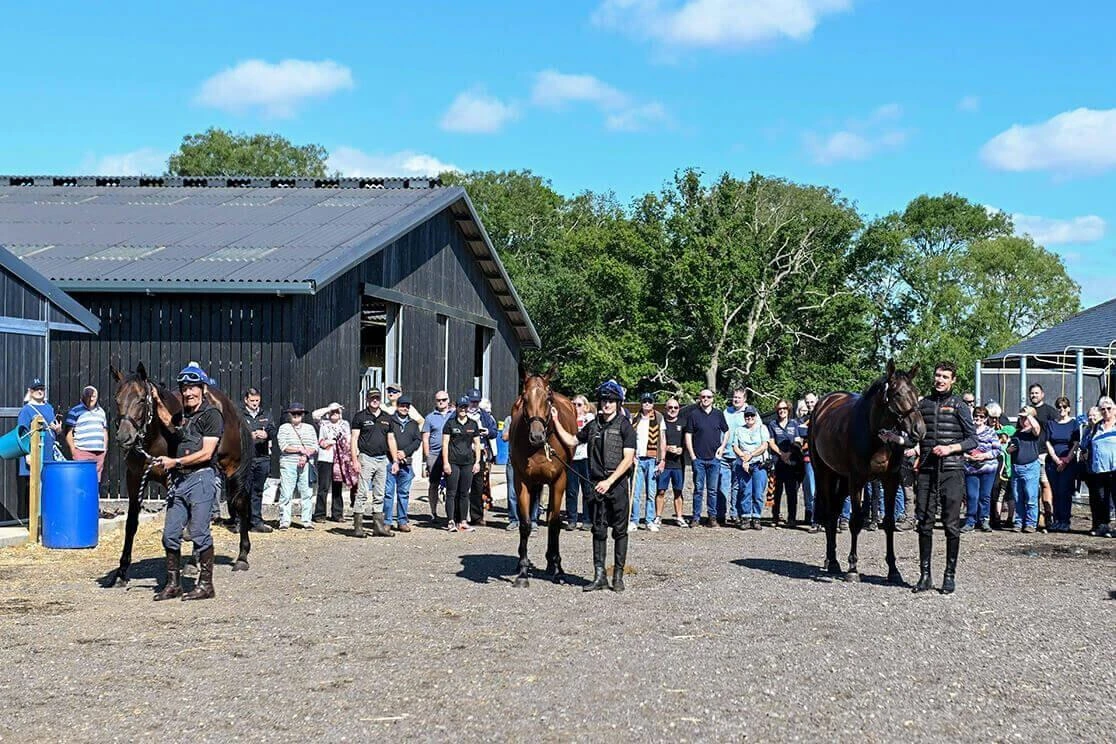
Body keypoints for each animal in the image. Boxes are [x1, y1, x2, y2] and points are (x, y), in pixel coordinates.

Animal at [105, 361, 252, 588]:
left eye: (141, 399)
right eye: (117, 399)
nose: (124, 436)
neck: (155, 437)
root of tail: (228, 406)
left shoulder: (172, 480)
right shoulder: (134, 478)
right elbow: (131, 524)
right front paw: (121, 573)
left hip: (232, 468)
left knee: (240, 504)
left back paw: (242, 557)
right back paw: (193, 562)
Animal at [506, 370, 575, 588]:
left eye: (548, 398)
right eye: (524, 398)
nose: (536, 436)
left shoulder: (559, 481)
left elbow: (554, 524)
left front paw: (558, 569)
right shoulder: (522, 482)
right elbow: (525, 524)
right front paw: (523, 572)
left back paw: (552, 563)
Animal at [807, 363, 928, 584]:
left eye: (916, 392)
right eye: (897, 394)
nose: (919, 430)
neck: (875, 434)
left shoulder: (890, 480)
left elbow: (888, 522)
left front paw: (893, 570)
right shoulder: (857, 480)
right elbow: (856, 521)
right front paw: (853, 568)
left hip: (842, 479)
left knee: (834, 513)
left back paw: (832, 561)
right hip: (824, 474)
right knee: (829, 514)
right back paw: (832, 561)